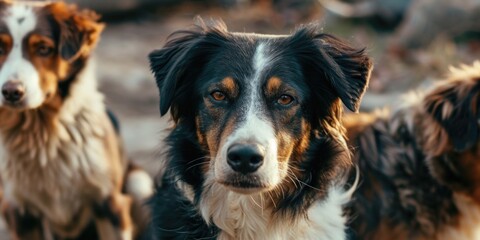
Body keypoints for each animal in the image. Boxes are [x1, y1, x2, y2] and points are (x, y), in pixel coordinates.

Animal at [0, 1, 152, 240]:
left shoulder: (109, 203)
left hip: (139, 182)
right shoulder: (20, 211)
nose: (11, 92)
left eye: (43, 48)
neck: (44, 133)